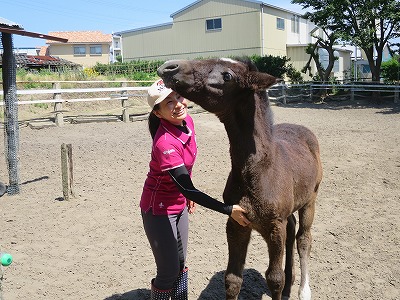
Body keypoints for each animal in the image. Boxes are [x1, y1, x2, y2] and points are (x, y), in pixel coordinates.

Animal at [158, 57, 324, 298]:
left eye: (227, 75)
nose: (169, 67)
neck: (259, 171)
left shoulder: (275, 227)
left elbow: (275, 278)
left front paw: (283, 285)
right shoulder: (236, 224)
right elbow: (233, 279)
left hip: (310, 200)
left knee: (303, 239)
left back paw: (304, 291)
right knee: (293, 230)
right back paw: (290, 288)